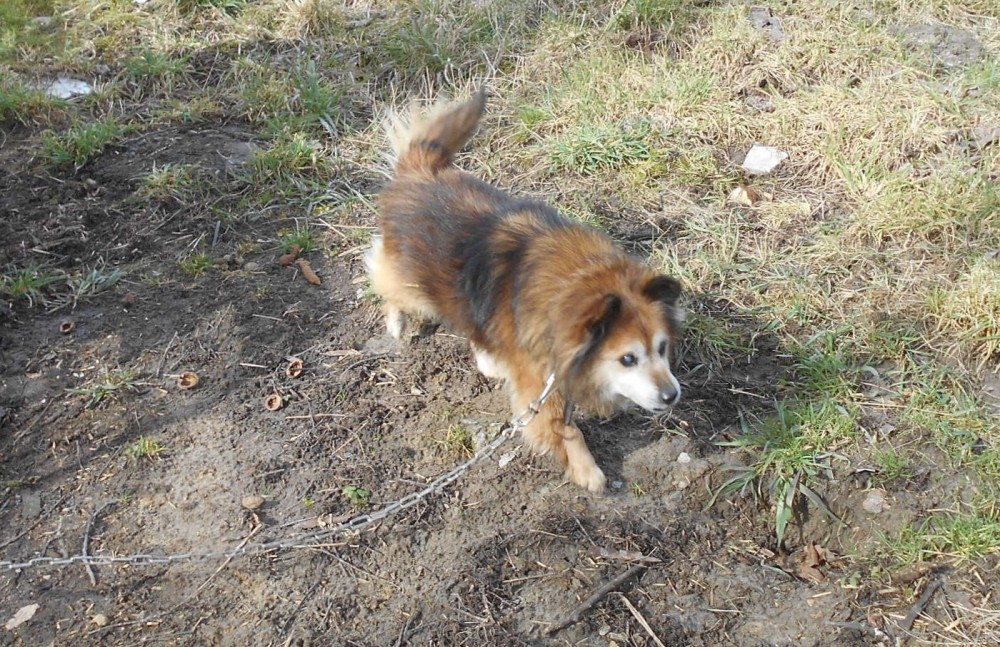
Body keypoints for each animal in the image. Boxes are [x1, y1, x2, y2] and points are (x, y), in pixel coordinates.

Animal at [367, 89, 683, 492]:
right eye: (627, 358)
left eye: (662, 348)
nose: (672, 395)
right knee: (386, 282)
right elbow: (564, 428)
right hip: (410, 281)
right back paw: (397, 321)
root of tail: (420, 169)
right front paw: (586, 470)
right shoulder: (540, 385)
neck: (577, 280)